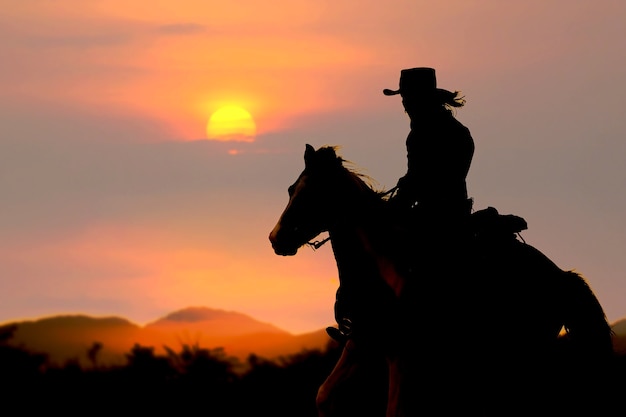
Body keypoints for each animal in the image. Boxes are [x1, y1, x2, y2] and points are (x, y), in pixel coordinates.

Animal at [266, 144, 608, 416]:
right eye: (291, 190)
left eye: (312, 194)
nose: (275, 239)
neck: (382, 267)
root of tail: (561, 276)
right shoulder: (362, 343)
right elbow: (324, 396)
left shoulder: (402, 356)